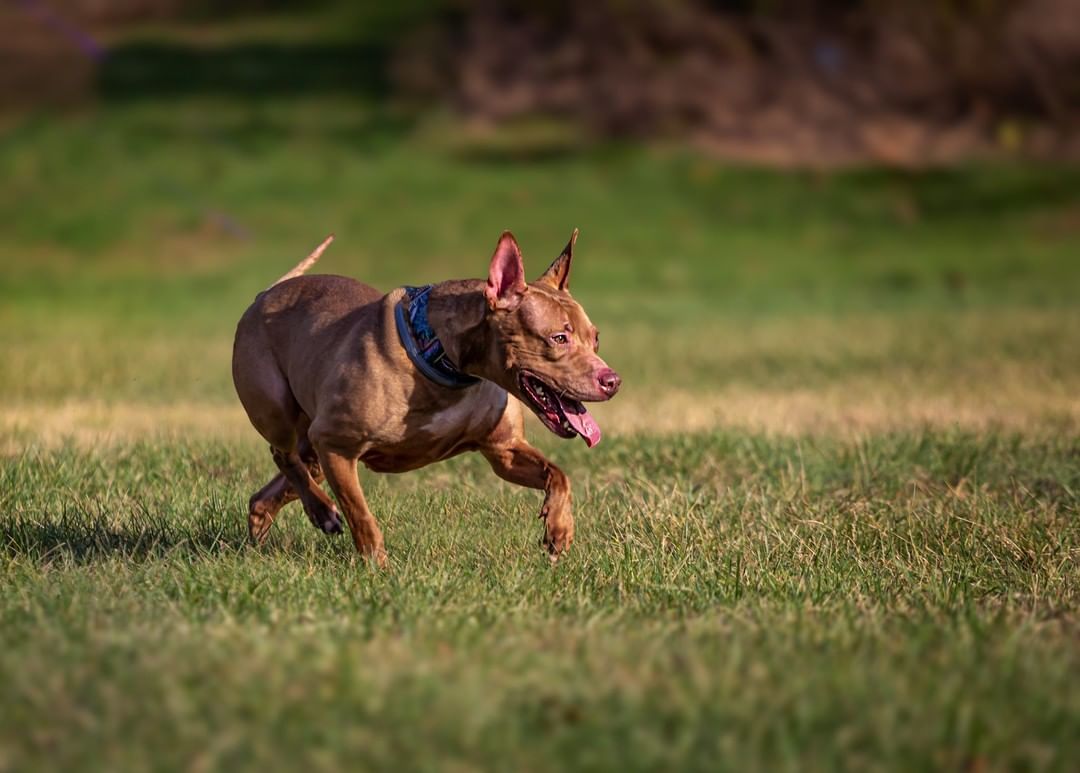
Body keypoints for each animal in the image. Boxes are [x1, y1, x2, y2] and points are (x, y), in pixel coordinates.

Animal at [234, 226, 626, 565]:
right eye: (559, 338)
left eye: (595, 339)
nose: (613, 381)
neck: (445, 358)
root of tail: (264, 295)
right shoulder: (336, 443)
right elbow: (360, 514)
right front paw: (378, 567)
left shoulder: (504, 450)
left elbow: (557, 475)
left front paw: (559, 529)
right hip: (281, 413)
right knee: (283, 455)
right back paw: (322, 510)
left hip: (315, 453)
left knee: (269, 493)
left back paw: (274, 531)